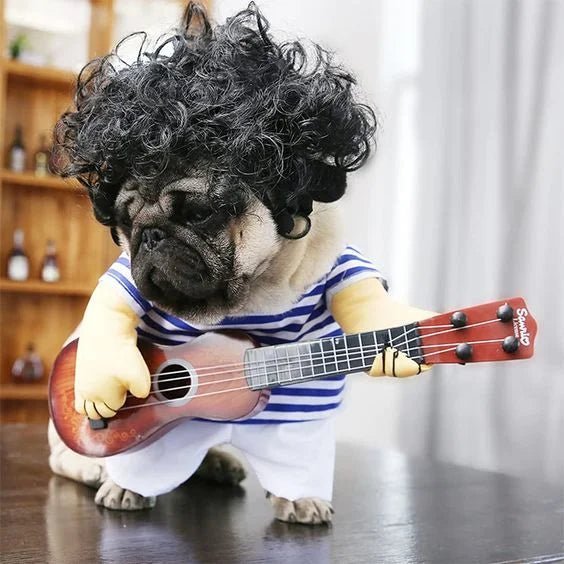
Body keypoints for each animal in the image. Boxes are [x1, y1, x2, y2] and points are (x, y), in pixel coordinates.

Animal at [49, 2, 436, 528]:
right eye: (125, 222)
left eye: (197, 213)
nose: (149, 235)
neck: (248, 292)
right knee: (69, 458)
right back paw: (108, 476)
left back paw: (241, 471)